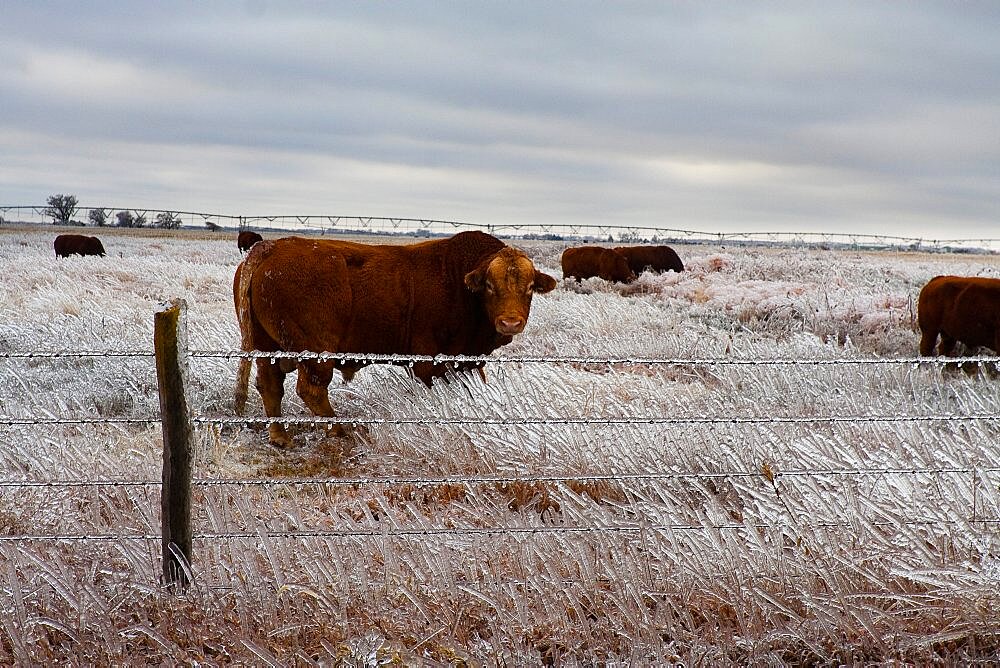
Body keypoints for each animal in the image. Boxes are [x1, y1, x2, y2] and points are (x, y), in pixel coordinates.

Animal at [236, 231, 564, 448]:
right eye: (490, 286)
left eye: (530, 287)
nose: (510, 322)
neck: (459, 284)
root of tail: (271, 247)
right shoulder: (428, 361)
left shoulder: (465, 362)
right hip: (317, 353)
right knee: (310, 390)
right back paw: (339, 429)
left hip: (268, 348)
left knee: (270, 385)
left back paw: (280, 436)